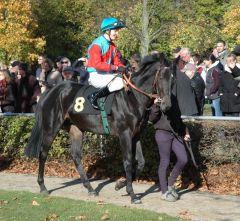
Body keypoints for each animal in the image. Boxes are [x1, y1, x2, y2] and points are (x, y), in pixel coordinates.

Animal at [24, 51, 172, 204]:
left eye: (172, 78)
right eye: (162, 77)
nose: (167, 105)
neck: (133, 98)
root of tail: (51, 90)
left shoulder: (136, 134)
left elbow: (141, 162)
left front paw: (120, 184)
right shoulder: (124, 134)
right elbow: (128, 162)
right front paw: (132, 194)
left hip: (76, 129)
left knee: (76, 156)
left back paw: (90, 189)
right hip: (51, 128)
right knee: (43, 153)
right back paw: (43, 186)